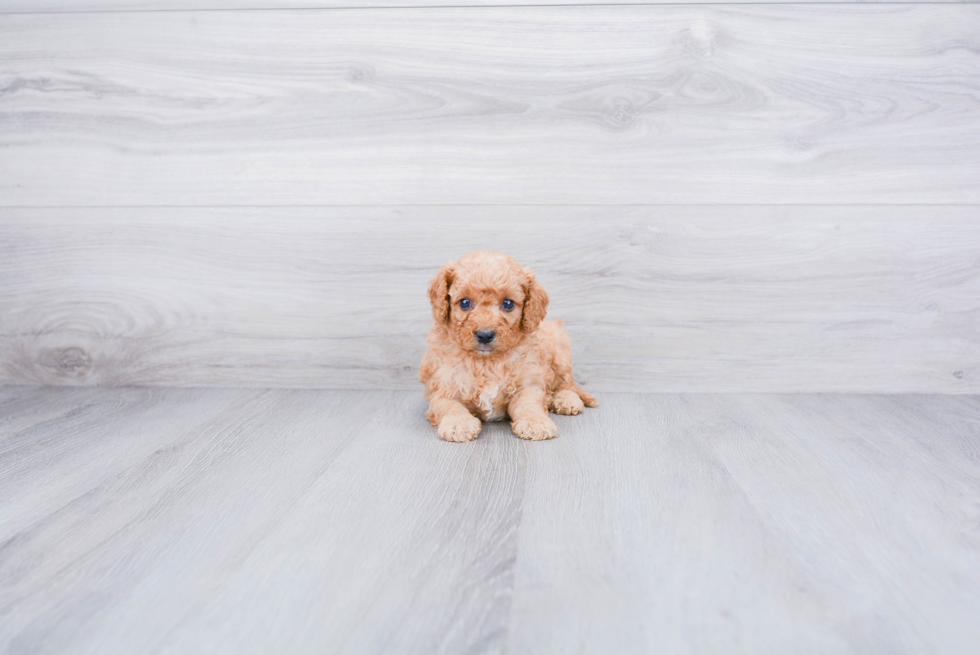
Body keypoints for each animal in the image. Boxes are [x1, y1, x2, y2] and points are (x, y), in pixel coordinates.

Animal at [420, 250, 596, 440]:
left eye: (508, 303)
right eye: (464, 302)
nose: (485, 335)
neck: (486, 361)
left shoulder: (528, 383)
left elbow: (529, 403)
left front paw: (535, 422)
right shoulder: (442, 388)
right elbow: (449, 406)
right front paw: (458, 424)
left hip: (560, 349)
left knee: (566, 384)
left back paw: (566, 400)